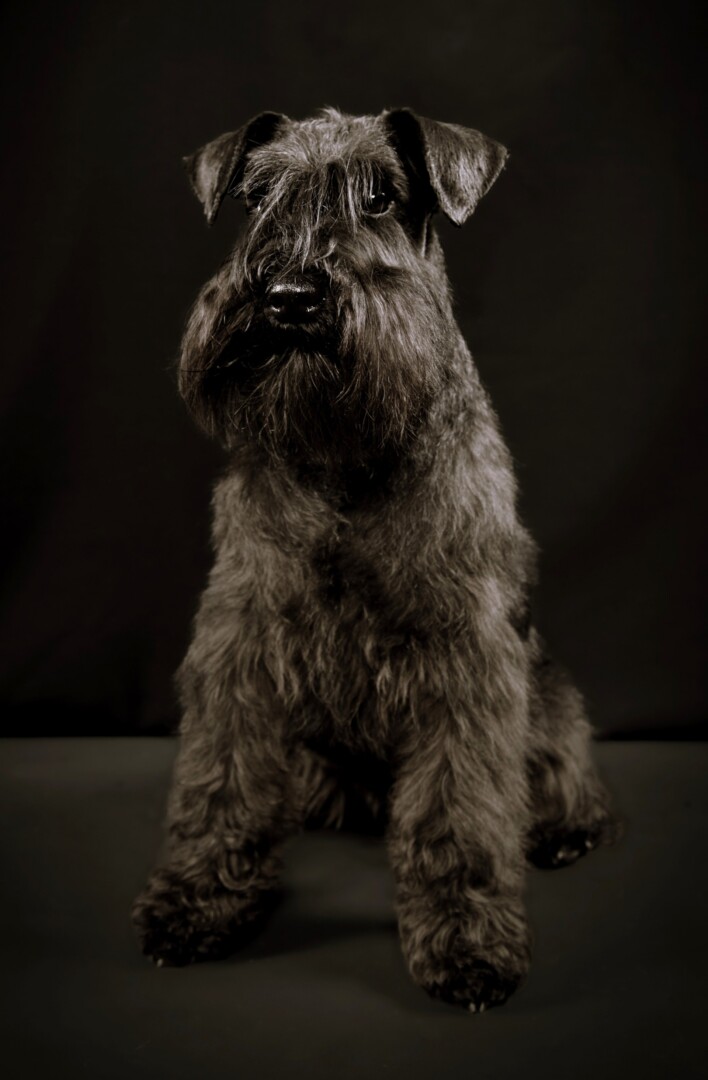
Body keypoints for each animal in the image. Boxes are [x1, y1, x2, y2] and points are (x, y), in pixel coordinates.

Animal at [132, 107, 618, 1011]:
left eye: (381, 196)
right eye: (257, 196)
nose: (290, 296)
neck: (344, 453)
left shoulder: (464, 658)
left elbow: (460, 810)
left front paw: (466, 938)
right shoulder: (240, 640)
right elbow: (219, 778)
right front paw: (197, 900)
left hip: (546, 697)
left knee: (560, 762)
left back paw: (567, 826)